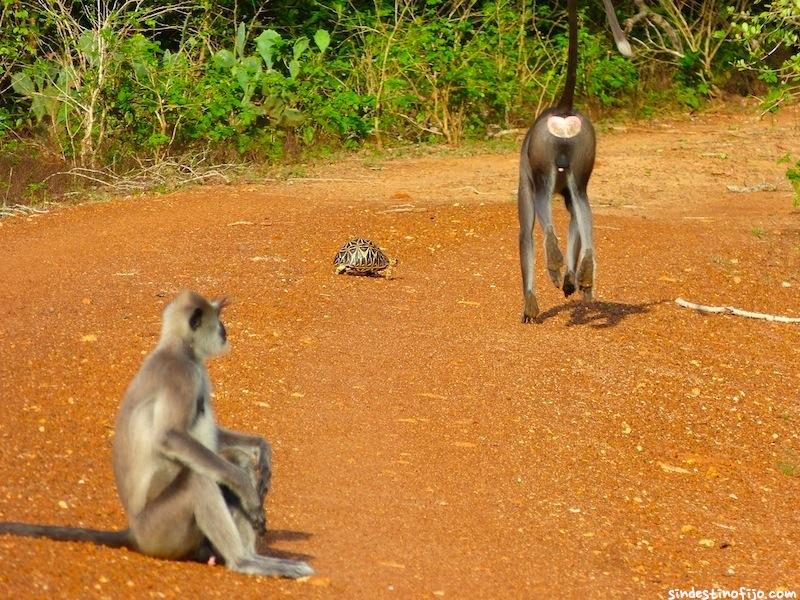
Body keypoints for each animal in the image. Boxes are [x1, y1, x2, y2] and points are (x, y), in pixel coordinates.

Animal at [0, 292, 316, 580]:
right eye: (218, 320)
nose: (225, 330)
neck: (177, 348)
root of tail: (135, 533)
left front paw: (261, 449)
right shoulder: (182, 375)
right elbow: (170, 437)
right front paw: (247, 488)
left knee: (230, 462)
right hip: (160, 530)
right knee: (198, 480)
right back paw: (244, 561)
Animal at [520, 0, 636, 324]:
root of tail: (563, 109)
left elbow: (525, 235)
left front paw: (530, 304)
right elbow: (575, 221)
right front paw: (571, 280)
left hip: (542, 158)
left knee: (542, 200)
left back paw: (553, 257)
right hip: (584, 150)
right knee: (582, 202)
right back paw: (585, 270)